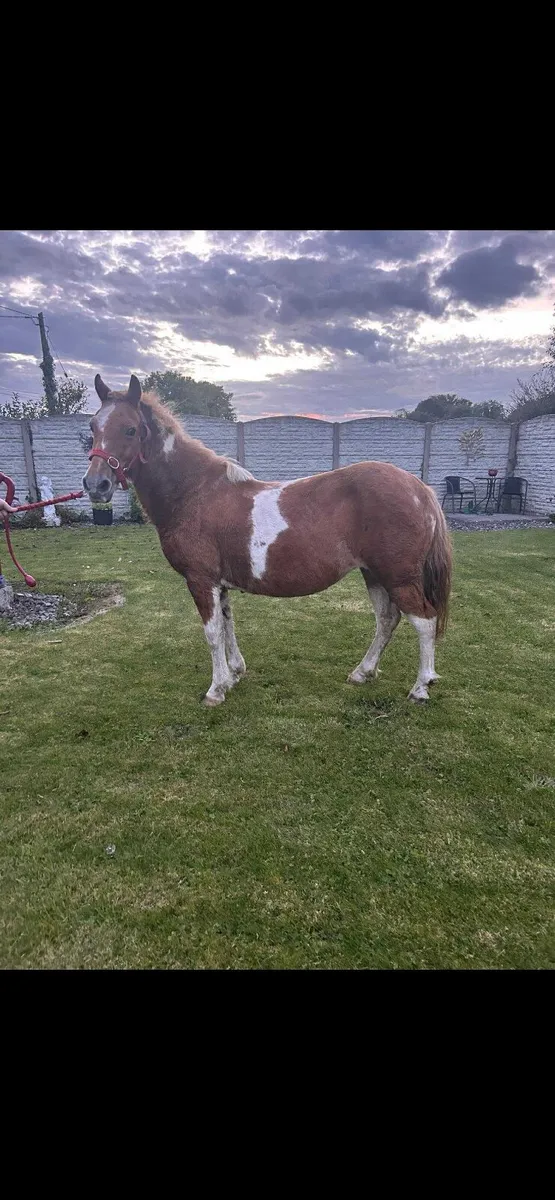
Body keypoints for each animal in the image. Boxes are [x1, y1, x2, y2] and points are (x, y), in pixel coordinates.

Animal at [83, 374, 452, 707]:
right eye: (92, 426)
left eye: (130, 429)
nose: (95, 485)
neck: (193, 492)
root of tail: (419, 488)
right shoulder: (220, 584)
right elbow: (228, 626)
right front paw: (234, 674)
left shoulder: (201, 580)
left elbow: (212, 634)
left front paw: (215, 691)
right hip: (374, 574)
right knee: (387, 620)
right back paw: (362, 673)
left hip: (398, 577)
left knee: (424, 621)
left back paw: (420, 688)